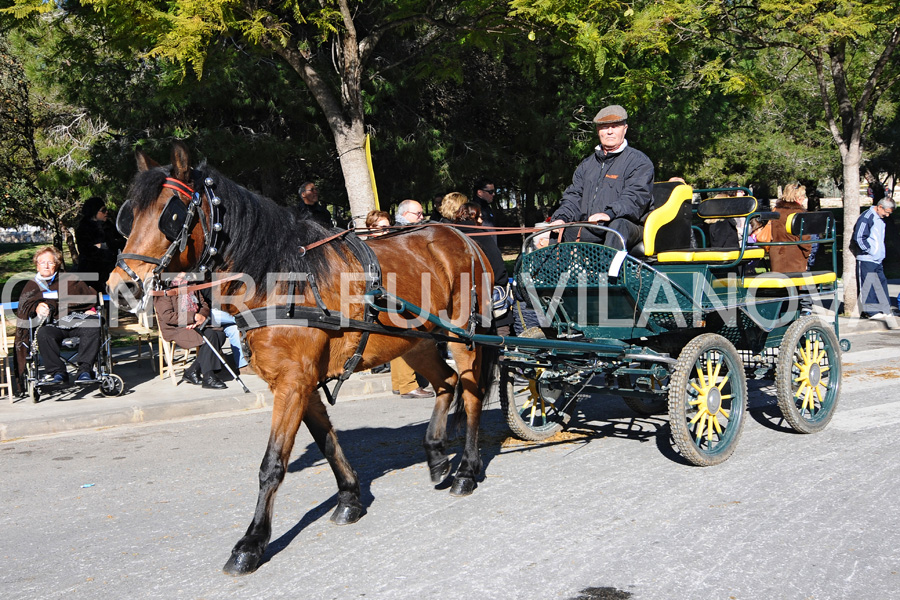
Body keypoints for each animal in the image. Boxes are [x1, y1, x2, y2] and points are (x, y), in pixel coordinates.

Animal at [110, 143, 500, 576]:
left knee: (471, 394)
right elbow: (327, 443)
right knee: (446, 382)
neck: (280, 279)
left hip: (463, 335)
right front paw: (349, 499)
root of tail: (459, 235)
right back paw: (435, 455)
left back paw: (466, 470)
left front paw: (251, 543)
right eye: (129, 216)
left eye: (171, 214)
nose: (121, 286)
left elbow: (272, 464)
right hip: (416, 341)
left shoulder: (293, 382)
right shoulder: (302, 383)